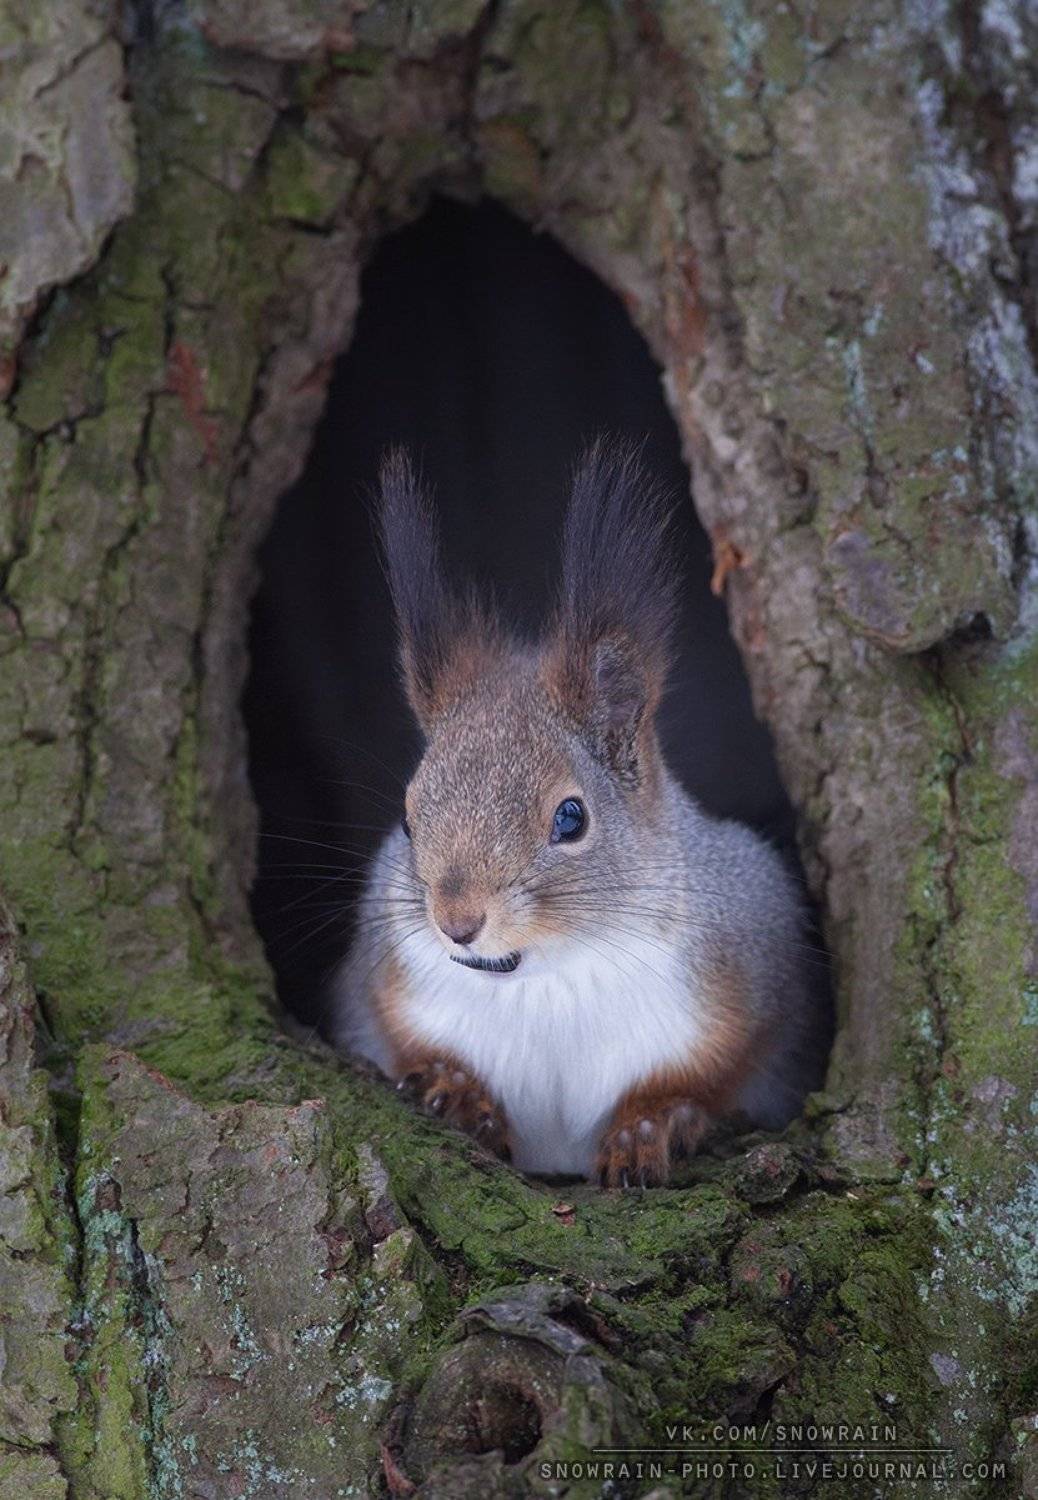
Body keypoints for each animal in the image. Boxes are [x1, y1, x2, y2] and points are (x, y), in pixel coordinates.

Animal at [331, 441, 823, 1187]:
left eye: (571, 819)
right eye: (410, 817)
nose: (457, 922)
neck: (550, 975)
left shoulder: (751, 961)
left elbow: (707, 1077)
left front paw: (653, 1125)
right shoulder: (388, 988)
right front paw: (458, 1089)